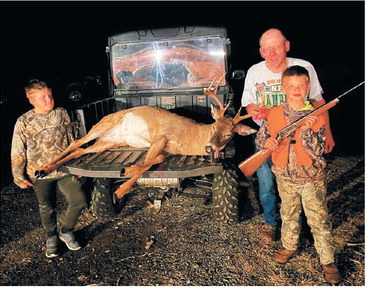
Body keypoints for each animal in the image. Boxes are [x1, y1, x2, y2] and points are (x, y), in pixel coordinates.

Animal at [36, 75, 258, 199]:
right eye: (214, 127)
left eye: (229, 134)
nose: (210, 148)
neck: (190, 136)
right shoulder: (160, 137)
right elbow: (148, 161)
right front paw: (121, 188)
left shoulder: (167, 150)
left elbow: (153, 160)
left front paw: (126, 172)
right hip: (101, 126)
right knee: (76, 141)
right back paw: (41, 169)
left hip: (108, 142)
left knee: (82, 149)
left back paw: (46, 169)